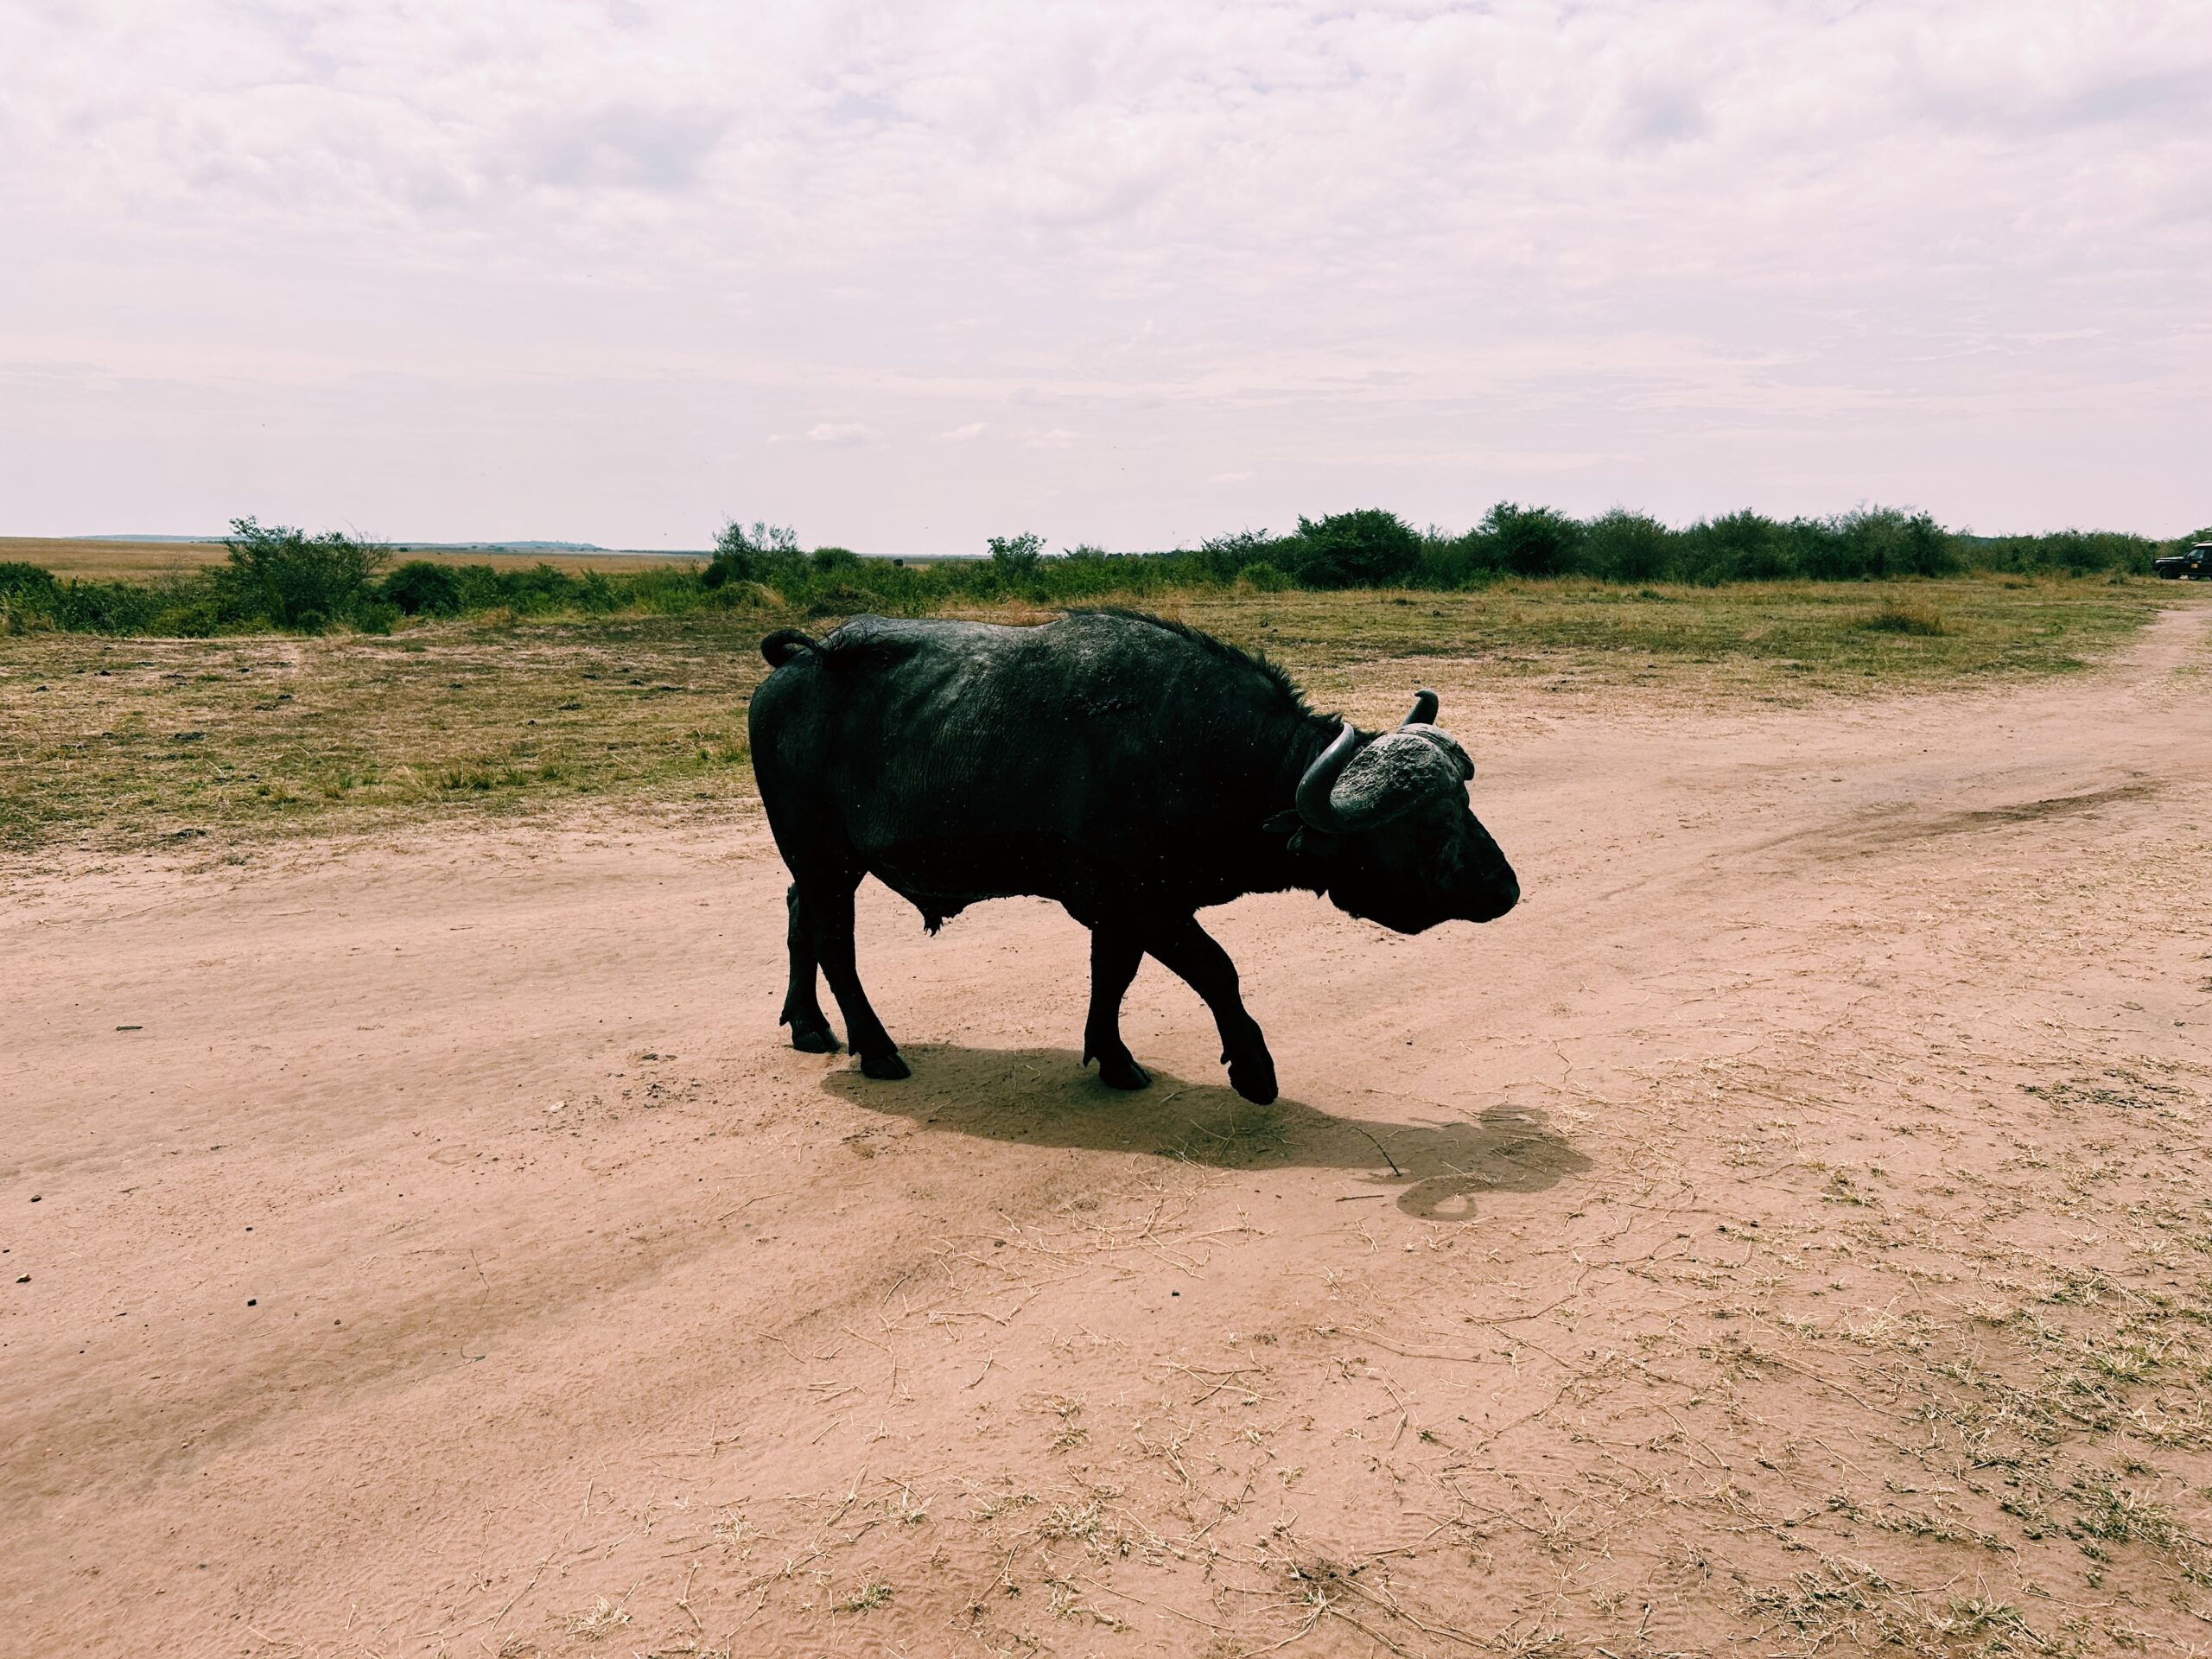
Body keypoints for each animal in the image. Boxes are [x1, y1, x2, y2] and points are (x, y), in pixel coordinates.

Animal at [743, 610, 1522, 1106]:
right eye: (1429, 825)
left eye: (1465, 802)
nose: (1504, 889)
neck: (1199, 752)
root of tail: (802, 659)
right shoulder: (1144, 902)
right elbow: (1217, 970)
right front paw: (1253, 1069)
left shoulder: (1120, 913)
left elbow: (1112, 978)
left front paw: (1112, 1058)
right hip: (826, 858)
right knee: (835, 942)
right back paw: (875, 1049)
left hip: (814, 864)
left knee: (797, 914)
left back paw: (809, 1025)